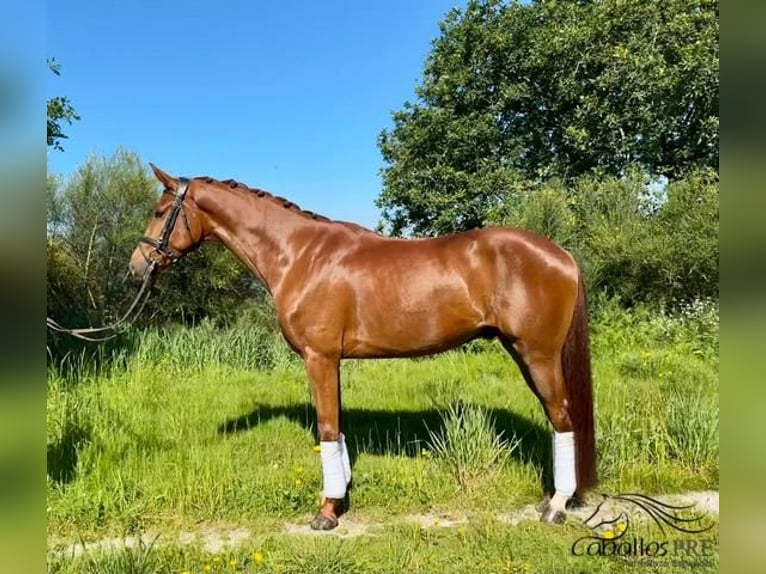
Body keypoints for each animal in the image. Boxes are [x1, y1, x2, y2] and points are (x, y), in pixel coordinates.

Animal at [130, 163, 600, 532]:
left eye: (159, 212)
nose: (137, 265)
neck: (300, 255)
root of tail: (562, 256)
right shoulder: (332, 361)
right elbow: (336, 428)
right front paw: (341, 497)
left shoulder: (319, 358)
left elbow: (325, 427)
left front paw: (326, 512)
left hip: (537, 354)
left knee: (562, 417)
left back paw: (557, 506)